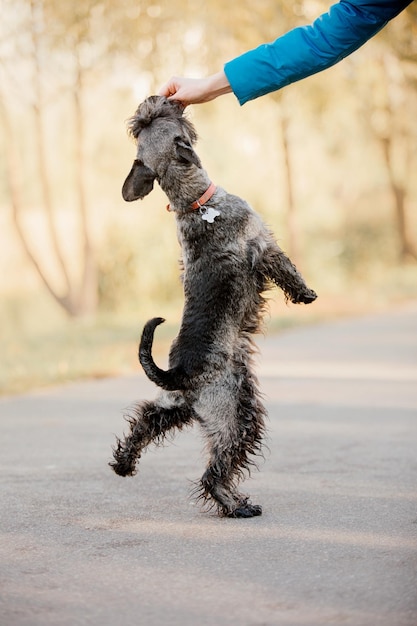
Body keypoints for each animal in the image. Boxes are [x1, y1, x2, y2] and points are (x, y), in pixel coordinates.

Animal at [109, 96, 316, 516]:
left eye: (149, 119)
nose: (161, 99)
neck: (193, 203)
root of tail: (180, 375)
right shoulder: (262, 245)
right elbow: (287, 269)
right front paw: (306, 294)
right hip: (237, 414)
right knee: (216, 468)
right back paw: (236, 505)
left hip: (171, 407)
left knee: (142, 422)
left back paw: (123, 464)